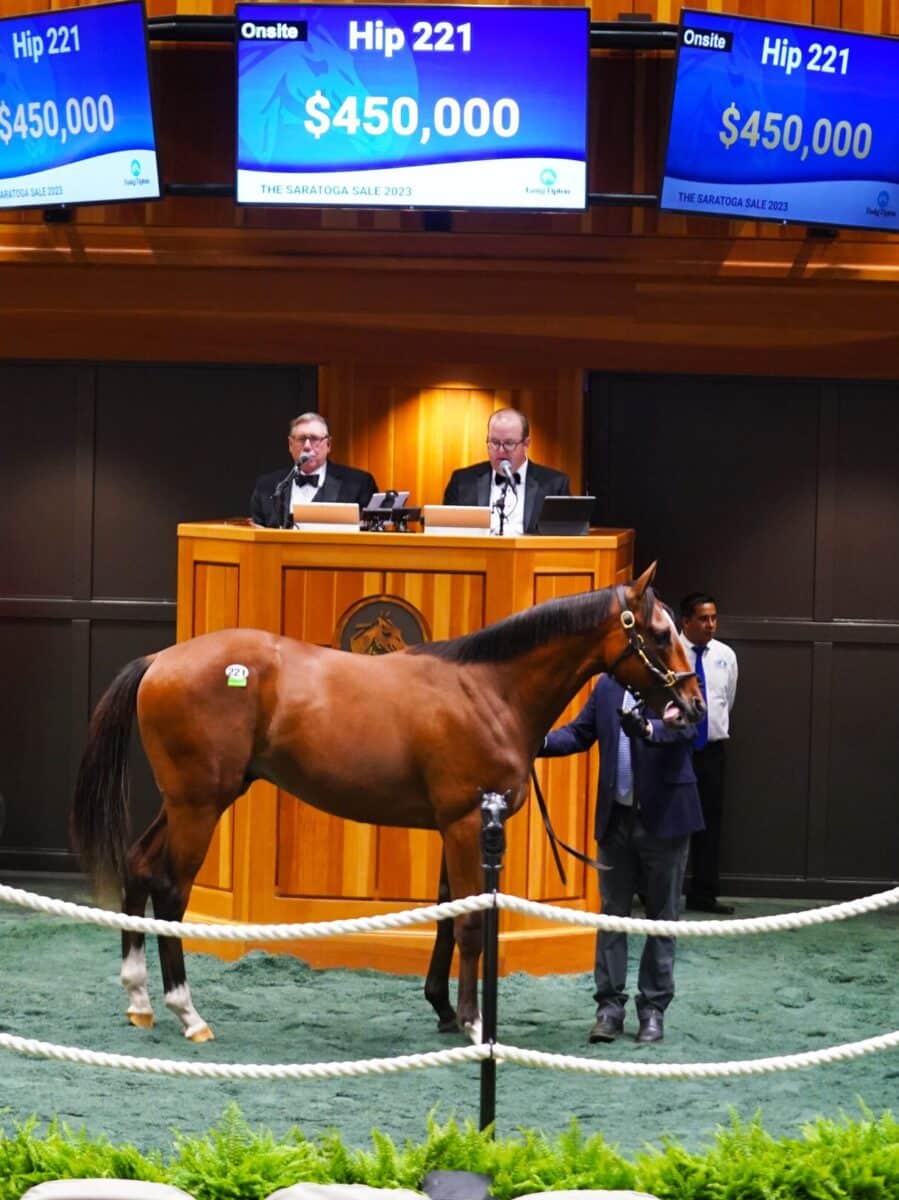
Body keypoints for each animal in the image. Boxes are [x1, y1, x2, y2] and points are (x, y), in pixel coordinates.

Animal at [72, 561, 700, 1041]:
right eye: (660, 634)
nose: (691, 707)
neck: (488, 691)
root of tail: (160, 661)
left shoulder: (455, 826)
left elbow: (448, 914)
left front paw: (444, 1010)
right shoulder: (466, 822)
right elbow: (471, 922)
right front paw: (474, 1024)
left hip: (184, 801)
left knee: (139, 867)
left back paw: (139, 1000)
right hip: (200, 806)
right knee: (171, 892)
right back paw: (187, 1013)